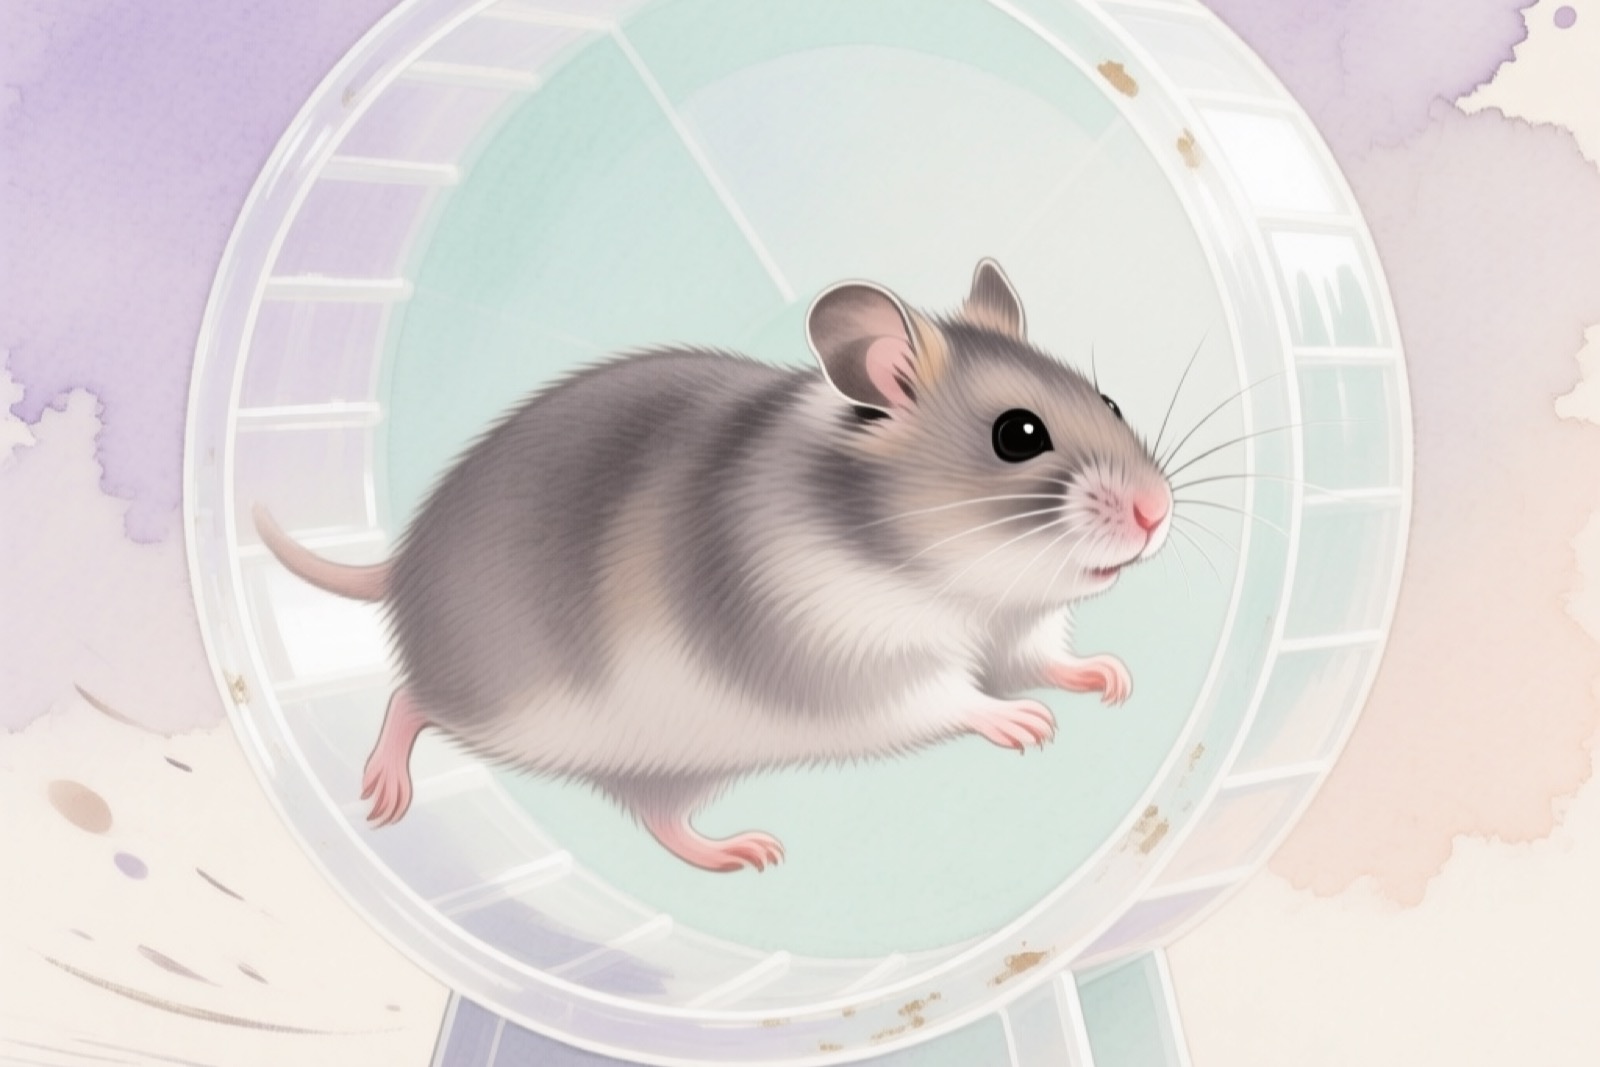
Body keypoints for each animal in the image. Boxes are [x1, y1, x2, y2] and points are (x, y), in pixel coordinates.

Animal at [254, 259, 1172, 872]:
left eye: (1109, 400)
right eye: (1018, 434)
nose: (1158, 514)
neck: (945, 571)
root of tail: (403, 563)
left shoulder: (1018, 631)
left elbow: (1042, 659)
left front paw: (1112, 678)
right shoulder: (856, 656)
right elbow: (952, 696)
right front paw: (1028, 726)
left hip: (679, 759)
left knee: (654, 814)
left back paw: (740, 851)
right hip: (512, 708)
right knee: (410, 699)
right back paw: (386, 794)